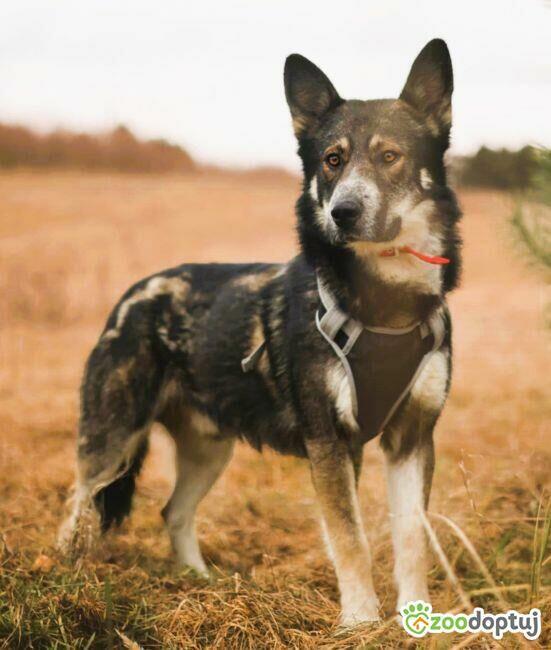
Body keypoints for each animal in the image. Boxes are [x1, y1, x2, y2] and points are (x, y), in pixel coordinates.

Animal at [58, 39, 462, 624]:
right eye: (332, 160)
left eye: (390, 156)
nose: (343, 212)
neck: (388, 305)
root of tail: (132, 294)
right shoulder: (329, 443)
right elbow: (351, 539)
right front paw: (361, 622)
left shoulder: (412, 437)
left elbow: (412, 539)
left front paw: (416, 619)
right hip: (112, 440)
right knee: (78, 507)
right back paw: (65, 585)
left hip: (208, 449)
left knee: (172, 512)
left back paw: (199, 581)